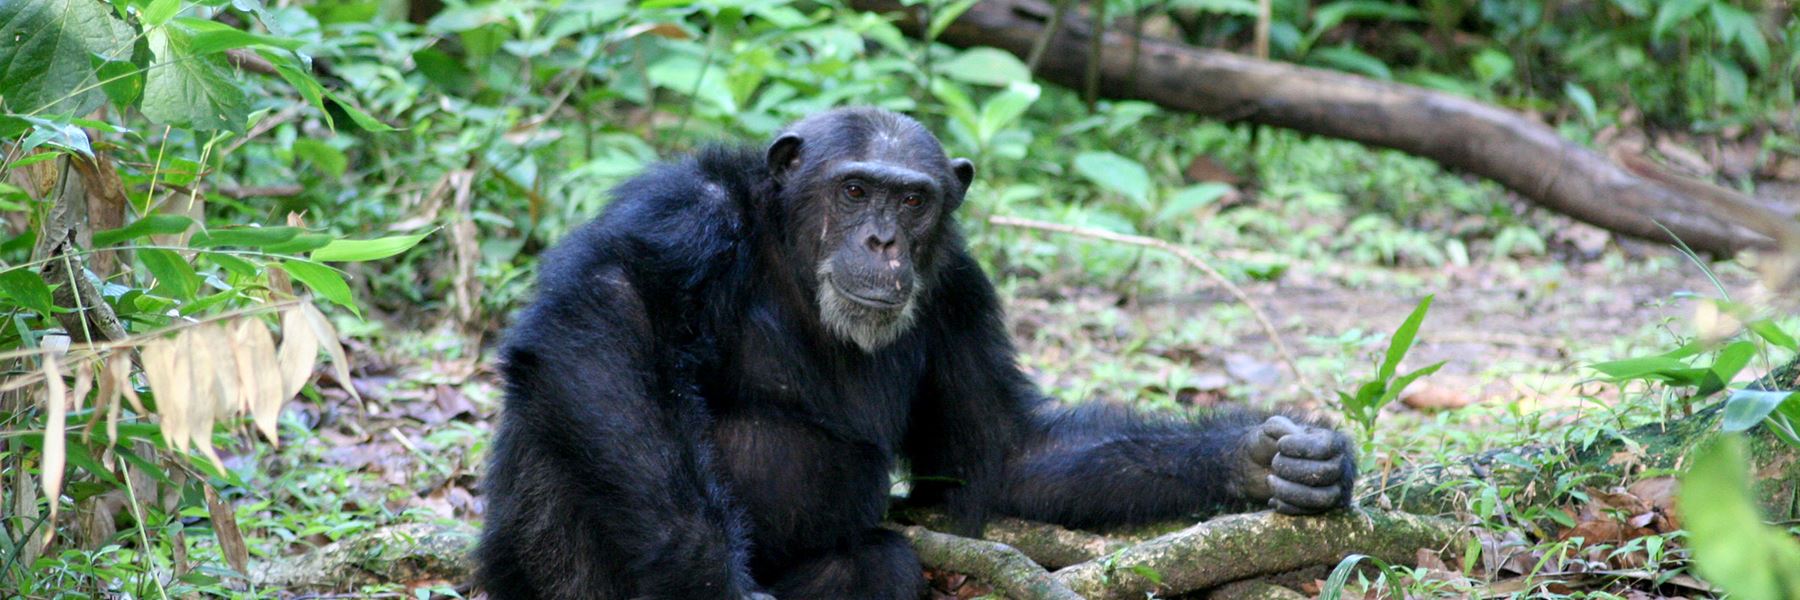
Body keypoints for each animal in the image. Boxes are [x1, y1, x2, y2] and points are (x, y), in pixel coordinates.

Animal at [475, 108, 1353, 598]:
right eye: (856, 190)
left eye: (913, 199)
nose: (883, 240)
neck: (788, 252)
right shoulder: (685, 213)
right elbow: (607, 308)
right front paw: (706, 582)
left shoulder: (960, 290)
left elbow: (1005, 448)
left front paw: (1267, 458)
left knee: (880, 567)